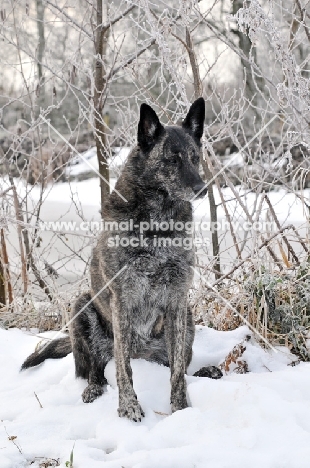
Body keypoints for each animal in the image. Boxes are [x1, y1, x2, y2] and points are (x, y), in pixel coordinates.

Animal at [21, 98, 222, 420]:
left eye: (195, 158)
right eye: (172, 159)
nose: (202, 189)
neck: (157, 227)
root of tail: (145, 354)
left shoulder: (177, 300)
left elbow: (178, 372)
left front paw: (180, 408)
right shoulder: (122, 299)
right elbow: (123, 368)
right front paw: (128, 406)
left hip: (187, 318)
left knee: (179, 366)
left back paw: (208, 371)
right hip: (82, 306)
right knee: (96, 368)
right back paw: (93, 388)